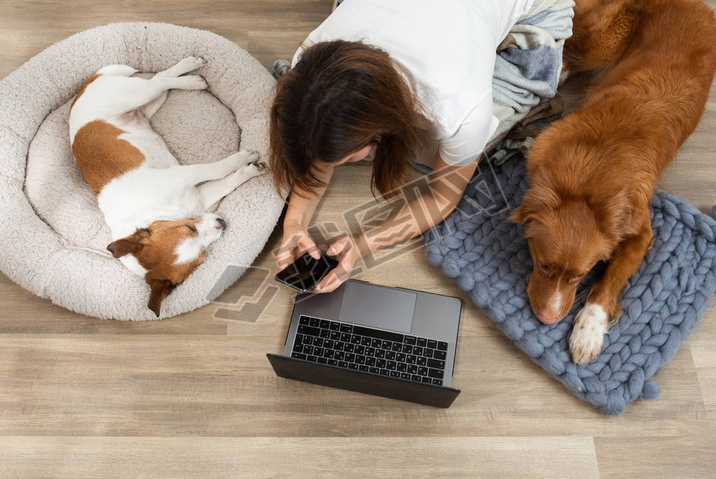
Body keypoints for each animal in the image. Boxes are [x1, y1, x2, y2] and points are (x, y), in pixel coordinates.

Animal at [69, 56, 266, 316]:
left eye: (188, 228)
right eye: (202, 257)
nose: (222, 223)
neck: (152, 211)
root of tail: (83, 89)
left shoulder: (184, 175)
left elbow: (217, 169)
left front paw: (243, 159)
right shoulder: (199, 196)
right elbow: (225, 180)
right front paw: (249, 168)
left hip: (138, 95)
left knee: (159, 80)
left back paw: (191, 74)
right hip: (147, 106)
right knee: (159, 80)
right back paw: (192, 77)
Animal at [510, 0, 716, 364]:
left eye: (579, 276)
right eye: (544, 266)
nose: (548, 319)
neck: (591, 174)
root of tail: (699, 5)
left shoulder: (640, 230)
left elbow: (611, 280)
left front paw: (588, 329)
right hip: (599, 43)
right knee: (564, 44)